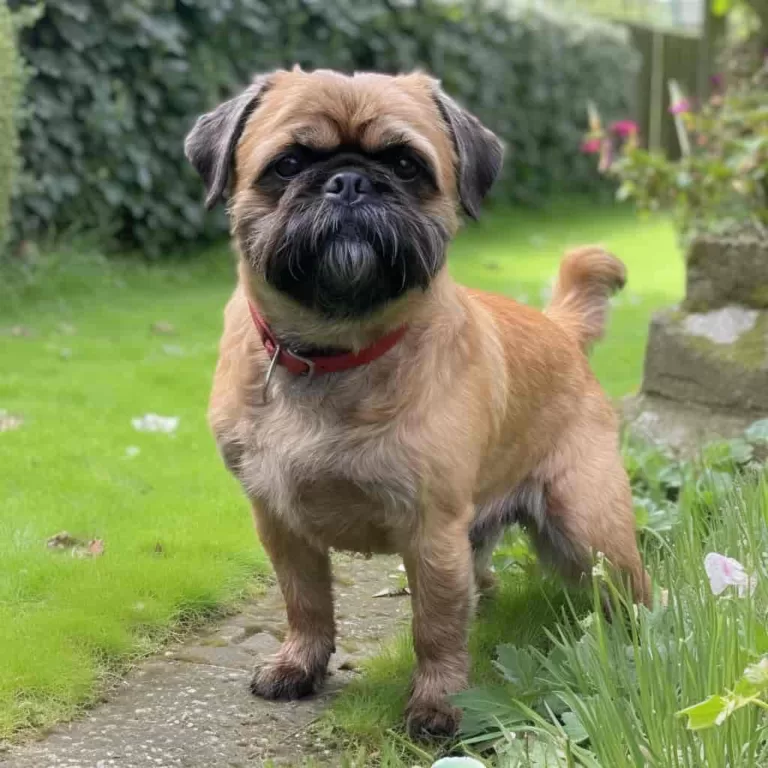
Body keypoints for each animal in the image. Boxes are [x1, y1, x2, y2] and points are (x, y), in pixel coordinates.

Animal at [184, 69, 648, 740]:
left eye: (406, 166)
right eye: (288, 163)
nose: (349, 181)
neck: (337, 354)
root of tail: (559, 328)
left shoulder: (432, 534)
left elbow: (435, 628)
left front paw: (438, 703)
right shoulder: (281, 523)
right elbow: (305, 603)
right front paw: (300, 665)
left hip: (588, 525)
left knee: (633, 592)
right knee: (481, 583)